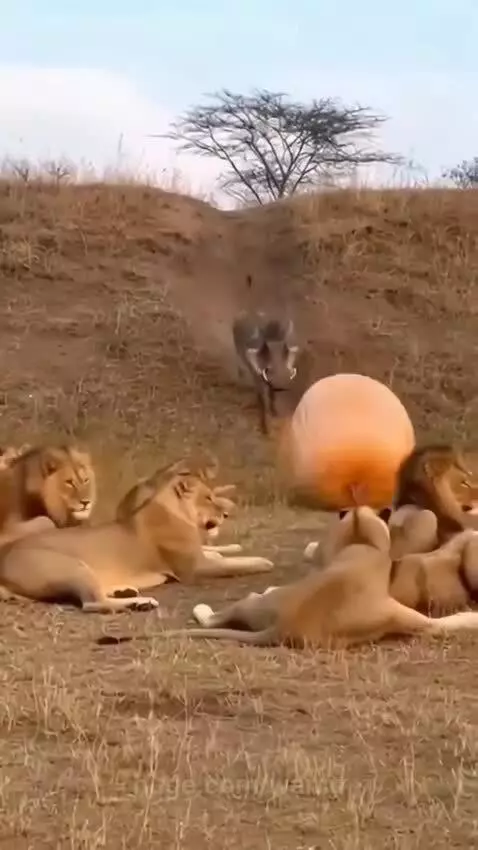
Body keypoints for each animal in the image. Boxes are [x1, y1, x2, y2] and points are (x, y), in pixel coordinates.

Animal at [0, 459, 274, 614]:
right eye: (208, 498)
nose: (225, 513)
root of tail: (5, 559)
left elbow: (222, 553)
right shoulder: (195, 568)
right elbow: (236, 565)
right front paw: (263, 561)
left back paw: (127, 592)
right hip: (70, 566)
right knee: (91, 603)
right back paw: (140, 603)